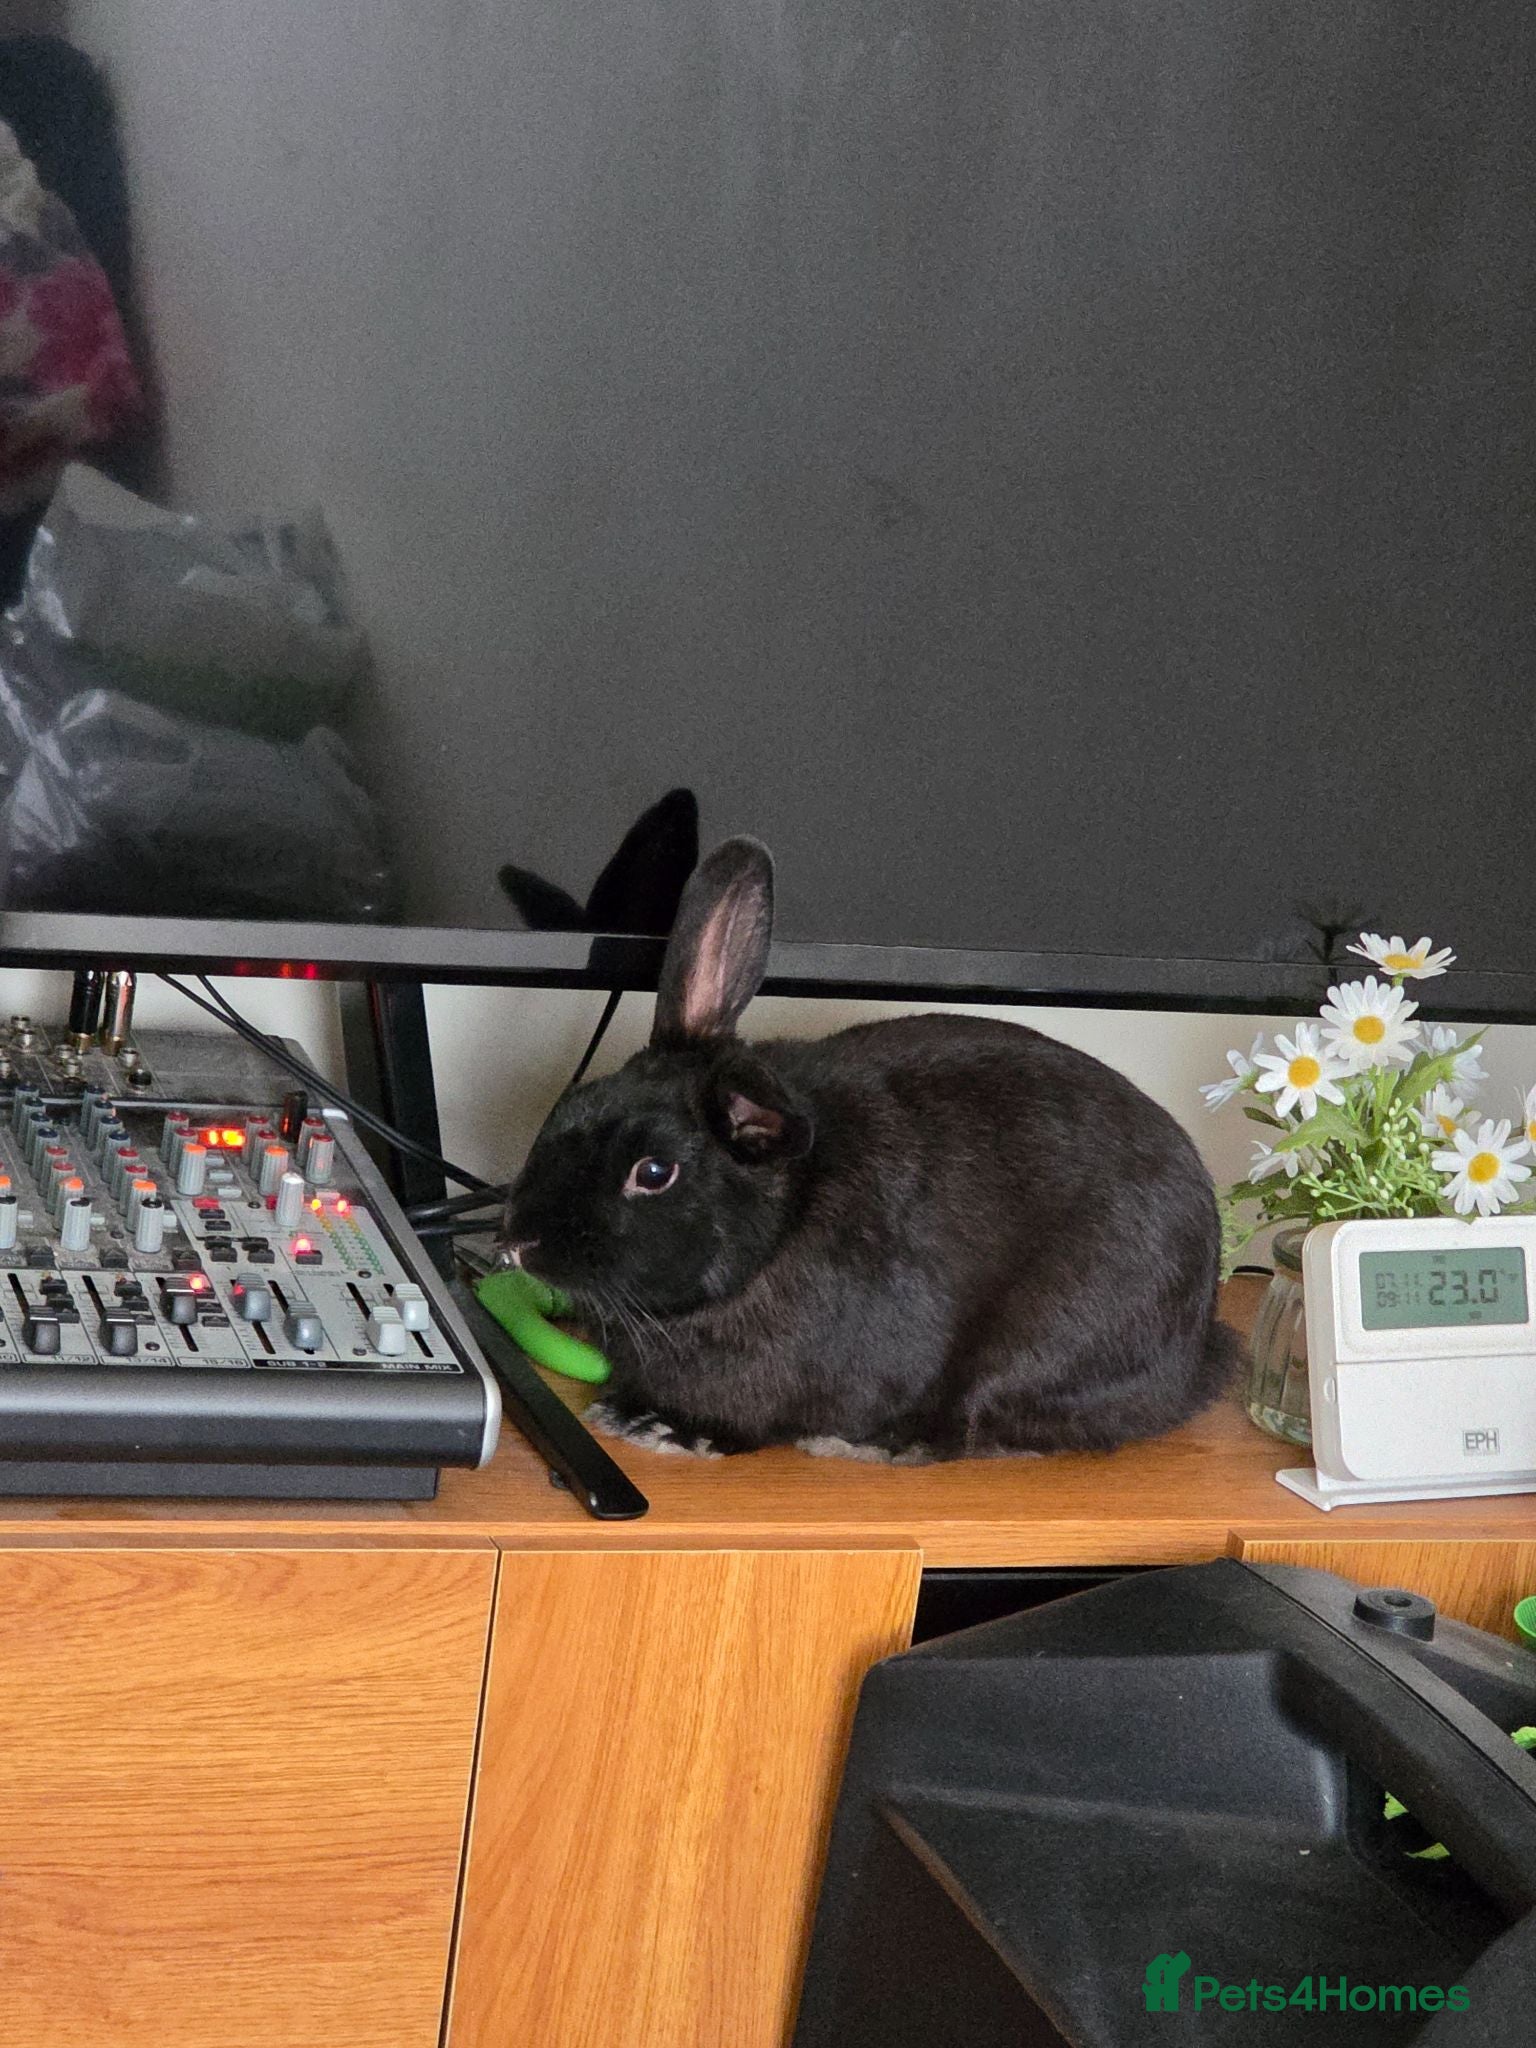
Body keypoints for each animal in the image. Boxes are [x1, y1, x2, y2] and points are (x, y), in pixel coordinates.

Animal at [498, 837, 1242, 1461]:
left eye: (653, 1172)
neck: (778, 1230)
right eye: (570, 1105)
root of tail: (1199, 1357)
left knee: (972, 1426)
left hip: (1042, 1343)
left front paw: (664, 1426)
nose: (518, 1243)